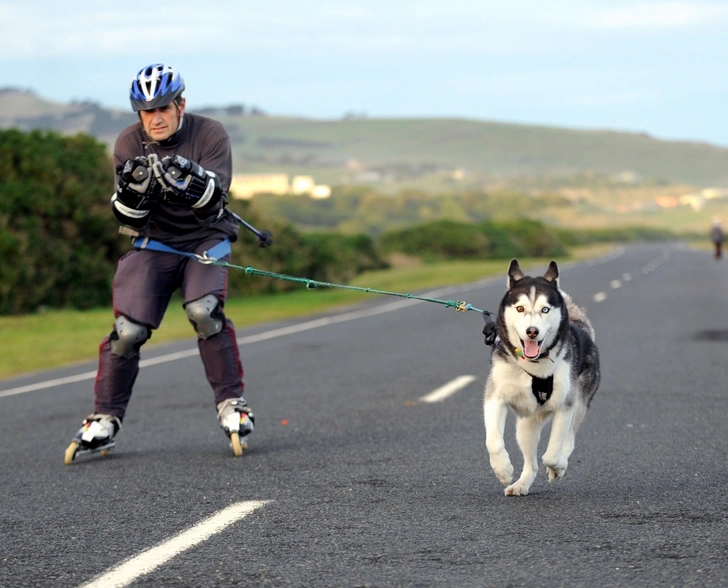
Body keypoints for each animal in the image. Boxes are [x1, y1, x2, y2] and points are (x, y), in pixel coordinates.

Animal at [484, 260, 596, 494]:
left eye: (545, 309)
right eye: (520, 308)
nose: (532, 331)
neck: (534, 367)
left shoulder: (565, 406)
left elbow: (552, 454)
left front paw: (558, 468)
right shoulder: (495, 397)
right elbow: (493, 441)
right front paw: (502, 470)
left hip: (579, 404)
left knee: (568, 442)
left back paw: (559, 465)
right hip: (526, 425)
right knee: (531, 463)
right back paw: (521, 484)